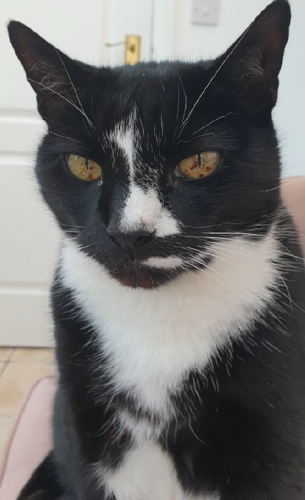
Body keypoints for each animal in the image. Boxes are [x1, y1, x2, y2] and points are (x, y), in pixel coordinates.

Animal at [7, 0, 305, 498]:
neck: (156, 321)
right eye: (83, 165)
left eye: (199, 163)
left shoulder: (276, 441)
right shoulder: (81, 424)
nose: (129, 232)